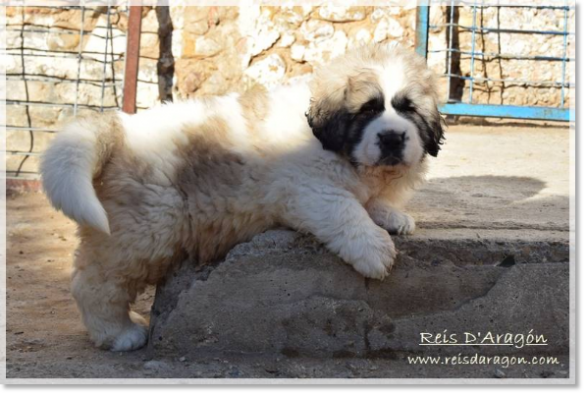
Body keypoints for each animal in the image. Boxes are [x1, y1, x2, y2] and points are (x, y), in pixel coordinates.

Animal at [41, 44, 442, 354]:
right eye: (368, 110)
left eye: (408, 109)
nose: (392, 138)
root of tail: (120, 129)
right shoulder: (308, 187)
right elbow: (346, 209)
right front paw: (375, 249)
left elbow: (369, 201)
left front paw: (391, 215)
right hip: (145, 230)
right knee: (97, 283)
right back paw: (118, 334)